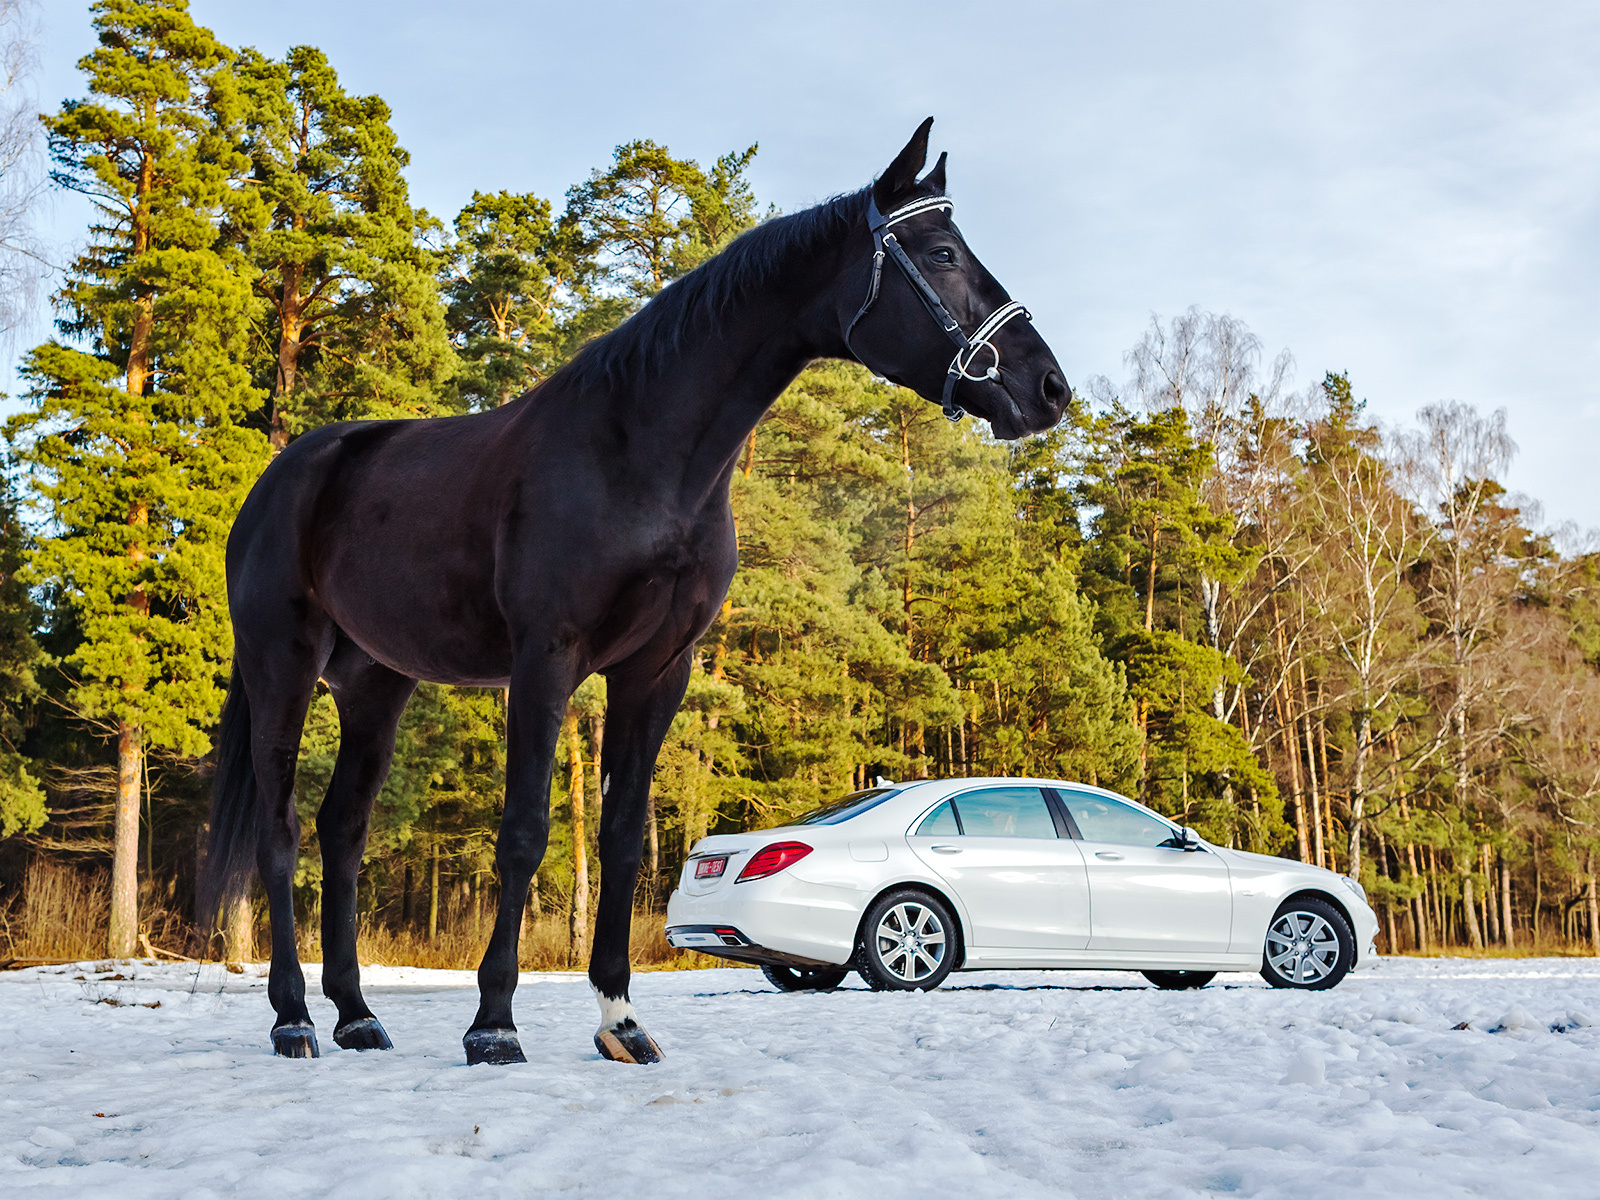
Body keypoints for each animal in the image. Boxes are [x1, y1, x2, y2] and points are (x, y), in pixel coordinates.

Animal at [203, 117, 1075, 1068]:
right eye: (944, 253)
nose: (1048, 388)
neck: (639, 453)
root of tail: (284, 475)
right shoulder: (545, 661)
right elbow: (524, 834)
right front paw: (493, 1025)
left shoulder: (658, 671)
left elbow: (622, 839)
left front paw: (619, 1020)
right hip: (283, 666)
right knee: (282, 833)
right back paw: (293, 1018)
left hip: (375, 686)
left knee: (343, 833)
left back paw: (357, 1014)